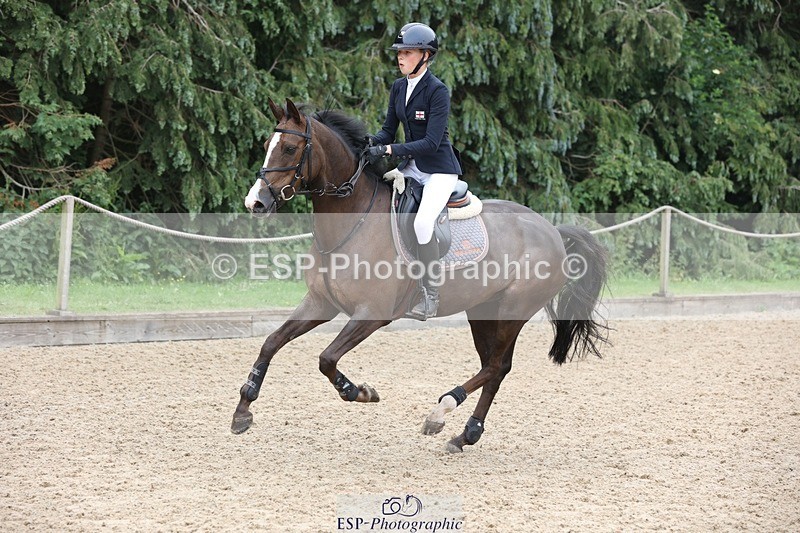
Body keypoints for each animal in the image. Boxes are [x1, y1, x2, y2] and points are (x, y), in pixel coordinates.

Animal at [234, 98, 609, 452]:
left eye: (289, 148)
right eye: (267, 143)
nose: (255, 203)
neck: (351, 220)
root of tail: (553, 231)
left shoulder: (372, 314)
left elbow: (327, 359)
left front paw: (360, 392)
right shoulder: (321, 304)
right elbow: (271, 342)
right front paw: (243, 410)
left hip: (513, 310)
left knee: (496, 366)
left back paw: (441, 411)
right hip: (483, 310)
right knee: (496, 367)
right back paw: (465, 435)